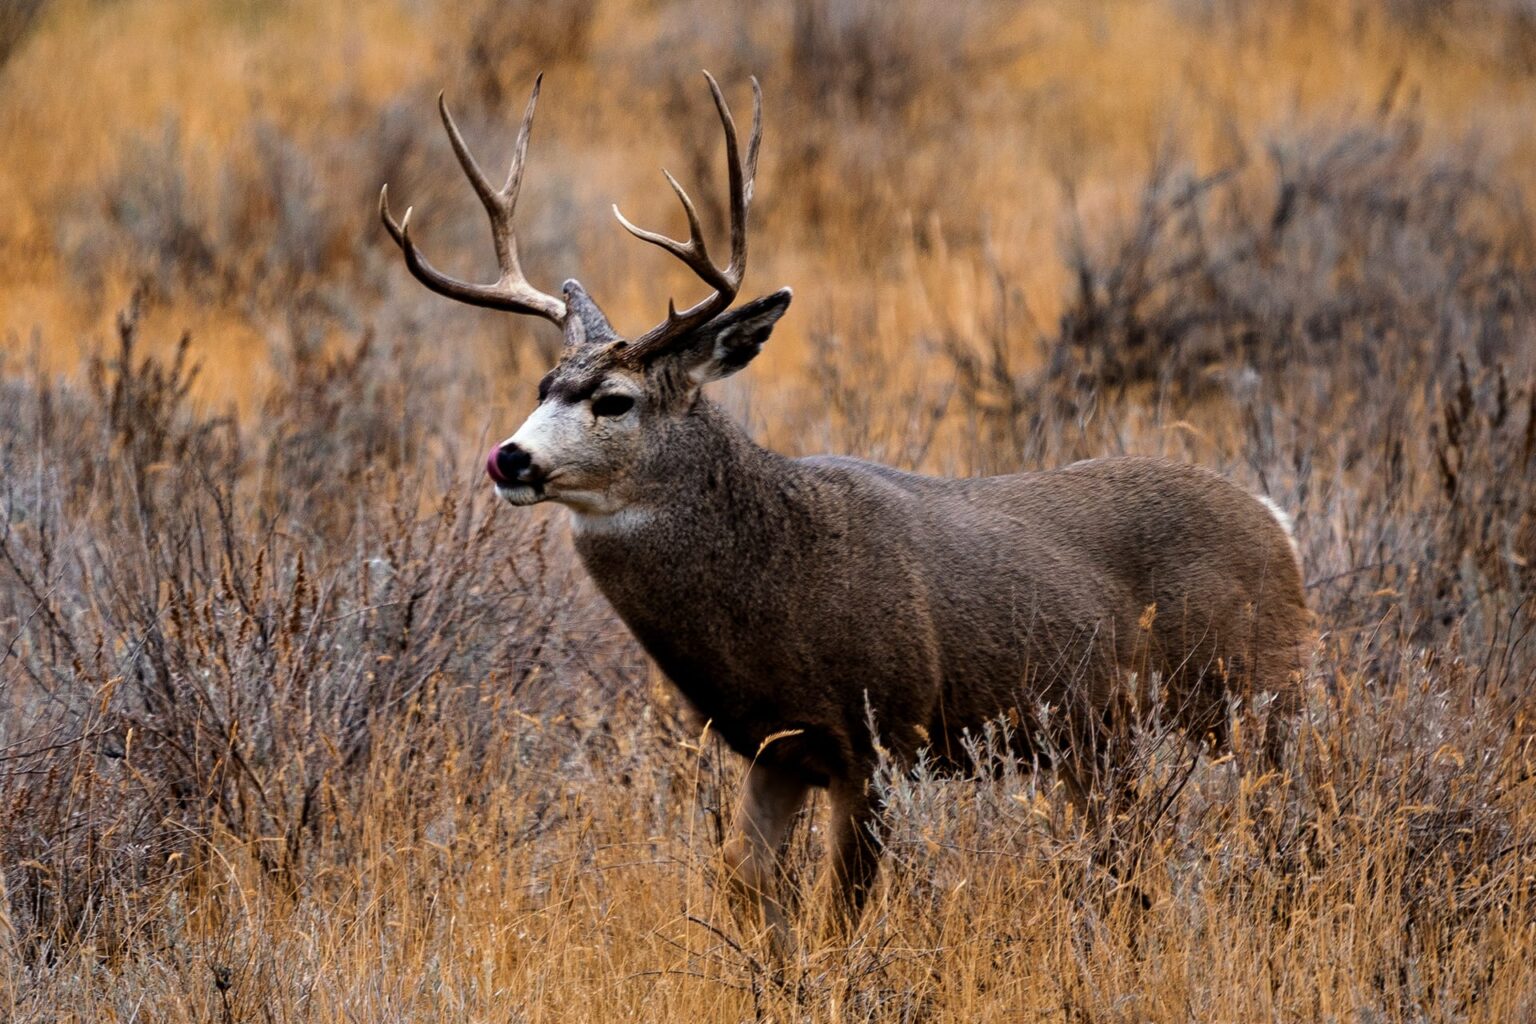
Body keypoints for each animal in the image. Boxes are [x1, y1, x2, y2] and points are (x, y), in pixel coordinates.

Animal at [379, 72, 1312, 942]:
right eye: (542, 384)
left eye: (614, 400)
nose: (509, 457)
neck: (779, 581)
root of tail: (1278, 524)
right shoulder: (778, 749)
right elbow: (749, 890)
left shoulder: (880, 739)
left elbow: (839, 919)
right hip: (1100, 740)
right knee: (1126, 852)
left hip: (1256, 699)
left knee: (1288, 828)